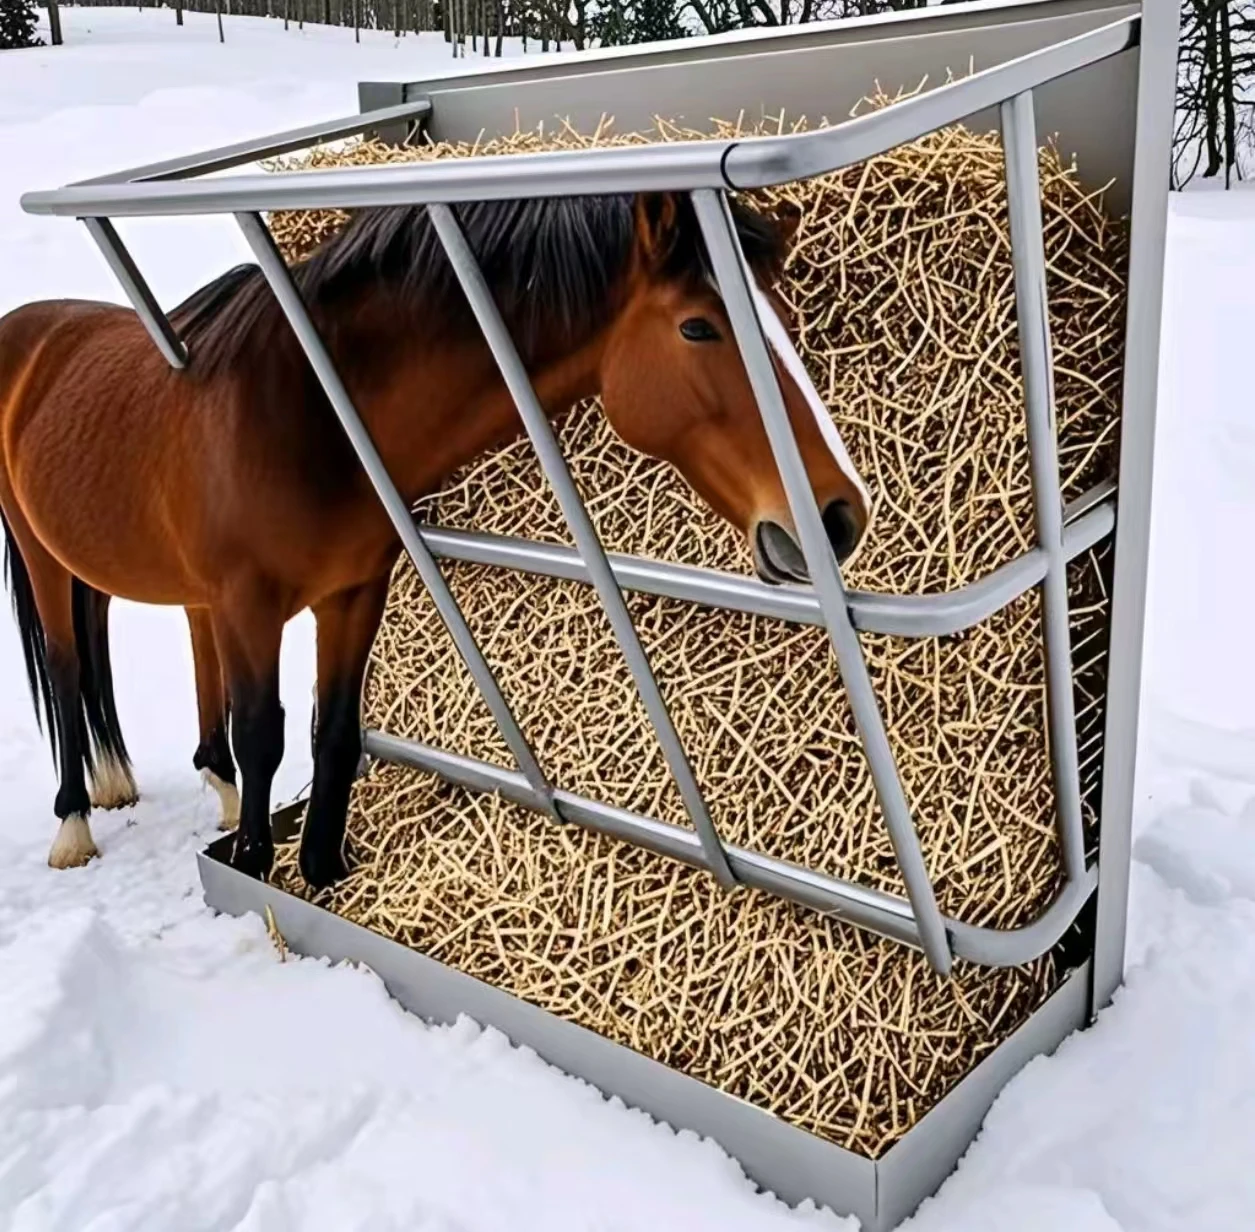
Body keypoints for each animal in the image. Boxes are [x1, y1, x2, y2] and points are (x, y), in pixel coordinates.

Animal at [0, 189, 869, 888]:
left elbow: (333, 733)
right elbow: (265, 735)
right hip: (44, 561)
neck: (305, 412)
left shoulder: (353, 593)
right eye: (697, 327)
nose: (838, 515)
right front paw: (254, 867)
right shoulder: (251, 605)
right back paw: (75, 824)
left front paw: (323, 870)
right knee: (69, 671)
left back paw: (201, 787)